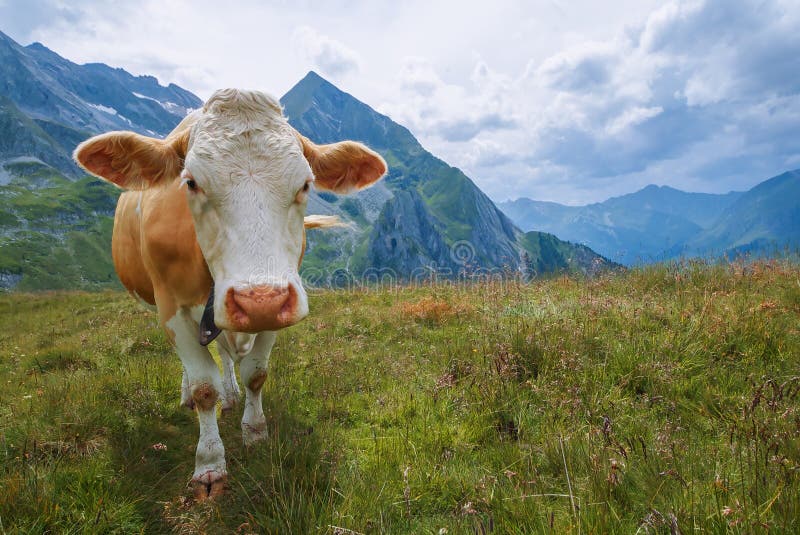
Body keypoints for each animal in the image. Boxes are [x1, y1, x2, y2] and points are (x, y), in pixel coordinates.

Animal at [73, 89, 386, 502]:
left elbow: (256, 373)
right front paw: (209, 463)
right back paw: (191, 396)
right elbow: (204, 385)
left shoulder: (277, 304)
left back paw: (232, 393)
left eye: (305, 184)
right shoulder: (172, 309)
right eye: (190, 183)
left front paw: (255, 431)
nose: (258, 298)